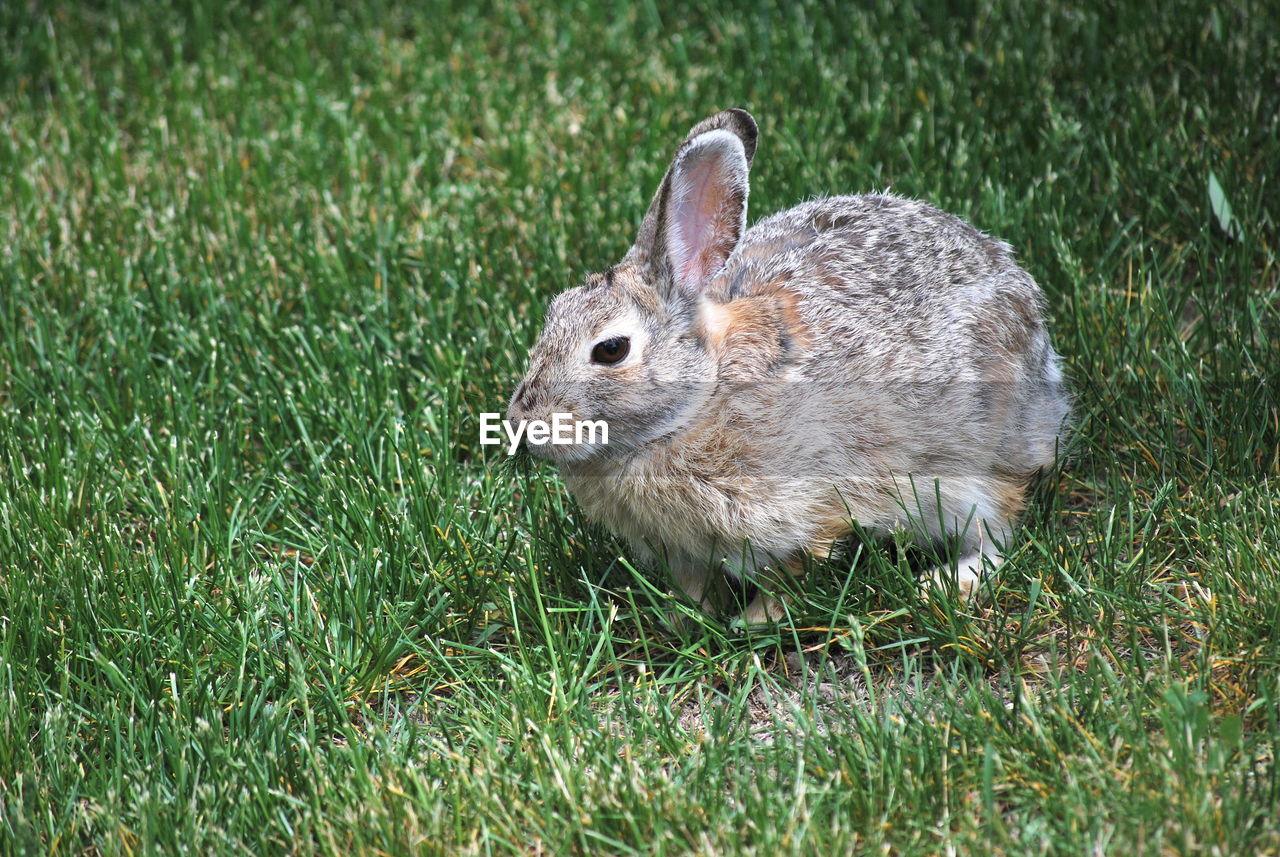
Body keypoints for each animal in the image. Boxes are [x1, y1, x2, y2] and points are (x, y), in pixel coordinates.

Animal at [504, 110, 1064, 626]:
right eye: (552, 314)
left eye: (611, 350)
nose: (522, 425)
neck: (698, 400)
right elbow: (694, 586)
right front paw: (684, 619)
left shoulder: (806, 510)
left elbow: (788, 575)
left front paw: (751, 623)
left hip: (974, 466)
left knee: (998, 526)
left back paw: (944, 584)